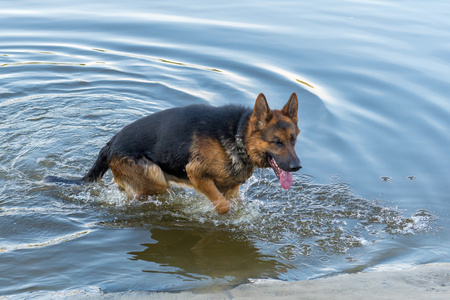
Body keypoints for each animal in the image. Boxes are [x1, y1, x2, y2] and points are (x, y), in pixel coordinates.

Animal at [44, 94, 302, 213]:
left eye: (293, 140)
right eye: (277, 142)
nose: (297, 166)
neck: (237, 136)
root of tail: (110, 143)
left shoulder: (231, 188)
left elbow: (230, 202)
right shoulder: (195, 173)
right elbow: (222, 205)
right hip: (155, 178)